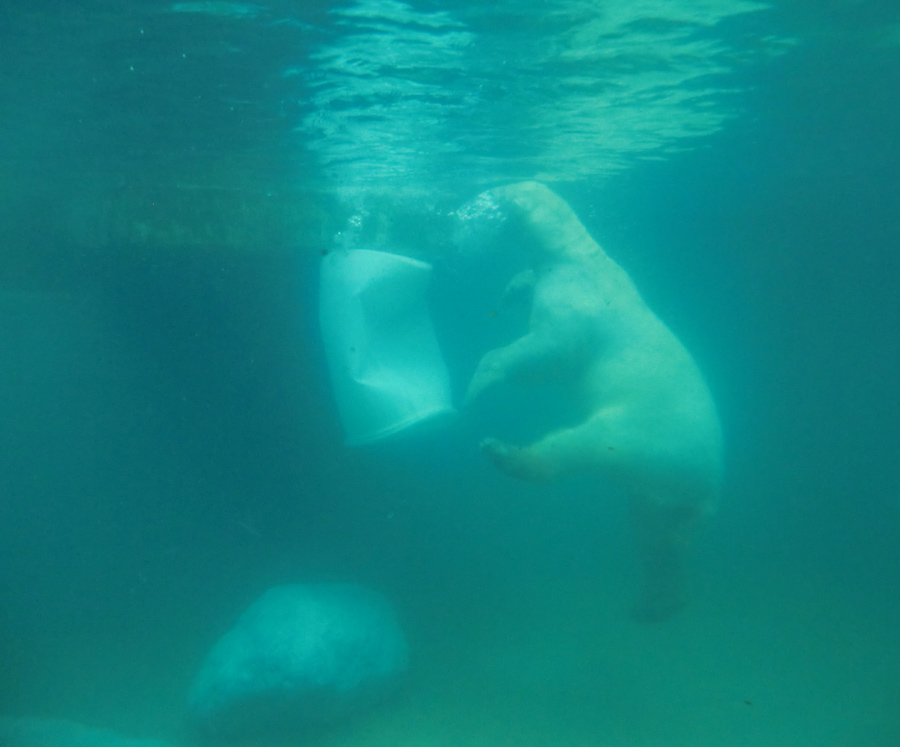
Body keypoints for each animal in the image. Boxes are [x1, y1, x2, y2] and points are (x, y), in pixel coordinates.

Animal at [464, 183, 724, 624]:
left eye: (505, 191)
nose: (490, 193)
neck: (581, 258)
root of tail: (706, 495)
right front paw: (513, 288)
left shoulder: (577, 307)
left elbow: (544, 352)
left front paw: (477, 384)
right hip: (660, 487)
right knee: (657, 538)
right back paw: (657, 604)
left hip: (649, 435)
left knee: (578, 448)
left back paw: (501, 451)